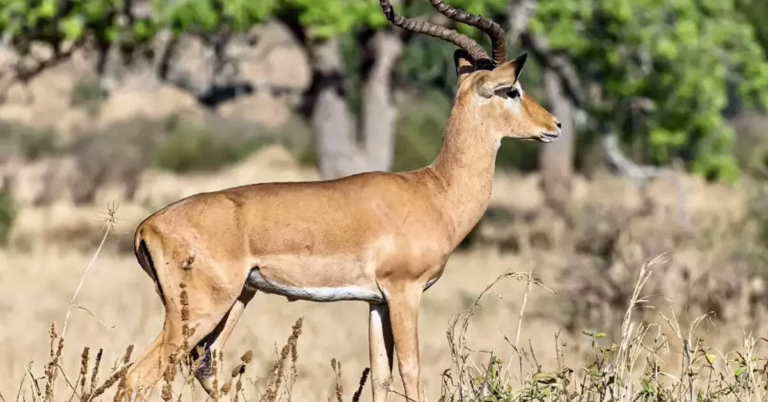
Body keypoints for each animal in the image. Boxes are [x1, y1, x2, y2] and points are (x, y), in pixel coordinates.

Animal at [123, 0, 561, 400]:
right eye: (512, 90)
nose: (554, 125)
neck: (434, 191)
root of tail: (147, 226)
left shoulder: (377, 302)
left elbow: (381, 376)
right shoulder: (405, 292)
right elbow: (411, 369)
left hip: (235, 302)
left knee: (204, 365)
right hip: (198, 312)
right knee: (137, 376)